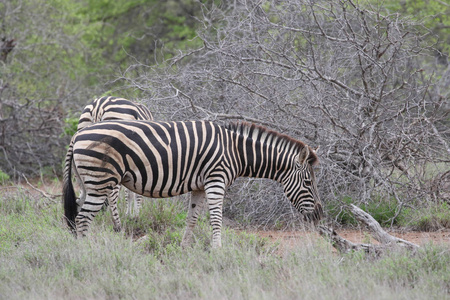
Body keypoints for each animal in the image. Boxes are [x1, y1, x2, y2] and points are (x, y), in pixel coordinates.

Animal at [64, 119, 324, 248]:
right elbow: (216, 218)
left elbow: (192, 218)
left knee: (78, 216)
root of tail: (78, 134)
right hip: (101, 182)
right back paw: (84, 253)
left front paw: (184, 249)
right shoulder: (216, 180)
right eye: (308, 182)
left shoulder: (199, 186)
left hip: (88, 183)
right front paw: (218, 250)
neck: (235, 151)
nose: (319, 215)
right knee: (82, 219)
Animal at [74, 96, 152, 230]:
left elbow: (130, 192)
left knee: (84, 191)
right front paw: (135, 215)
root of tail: (98, 105)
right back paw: (116, 223)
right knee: (111, 193)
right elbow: (133, 192)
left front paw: (130, 214)